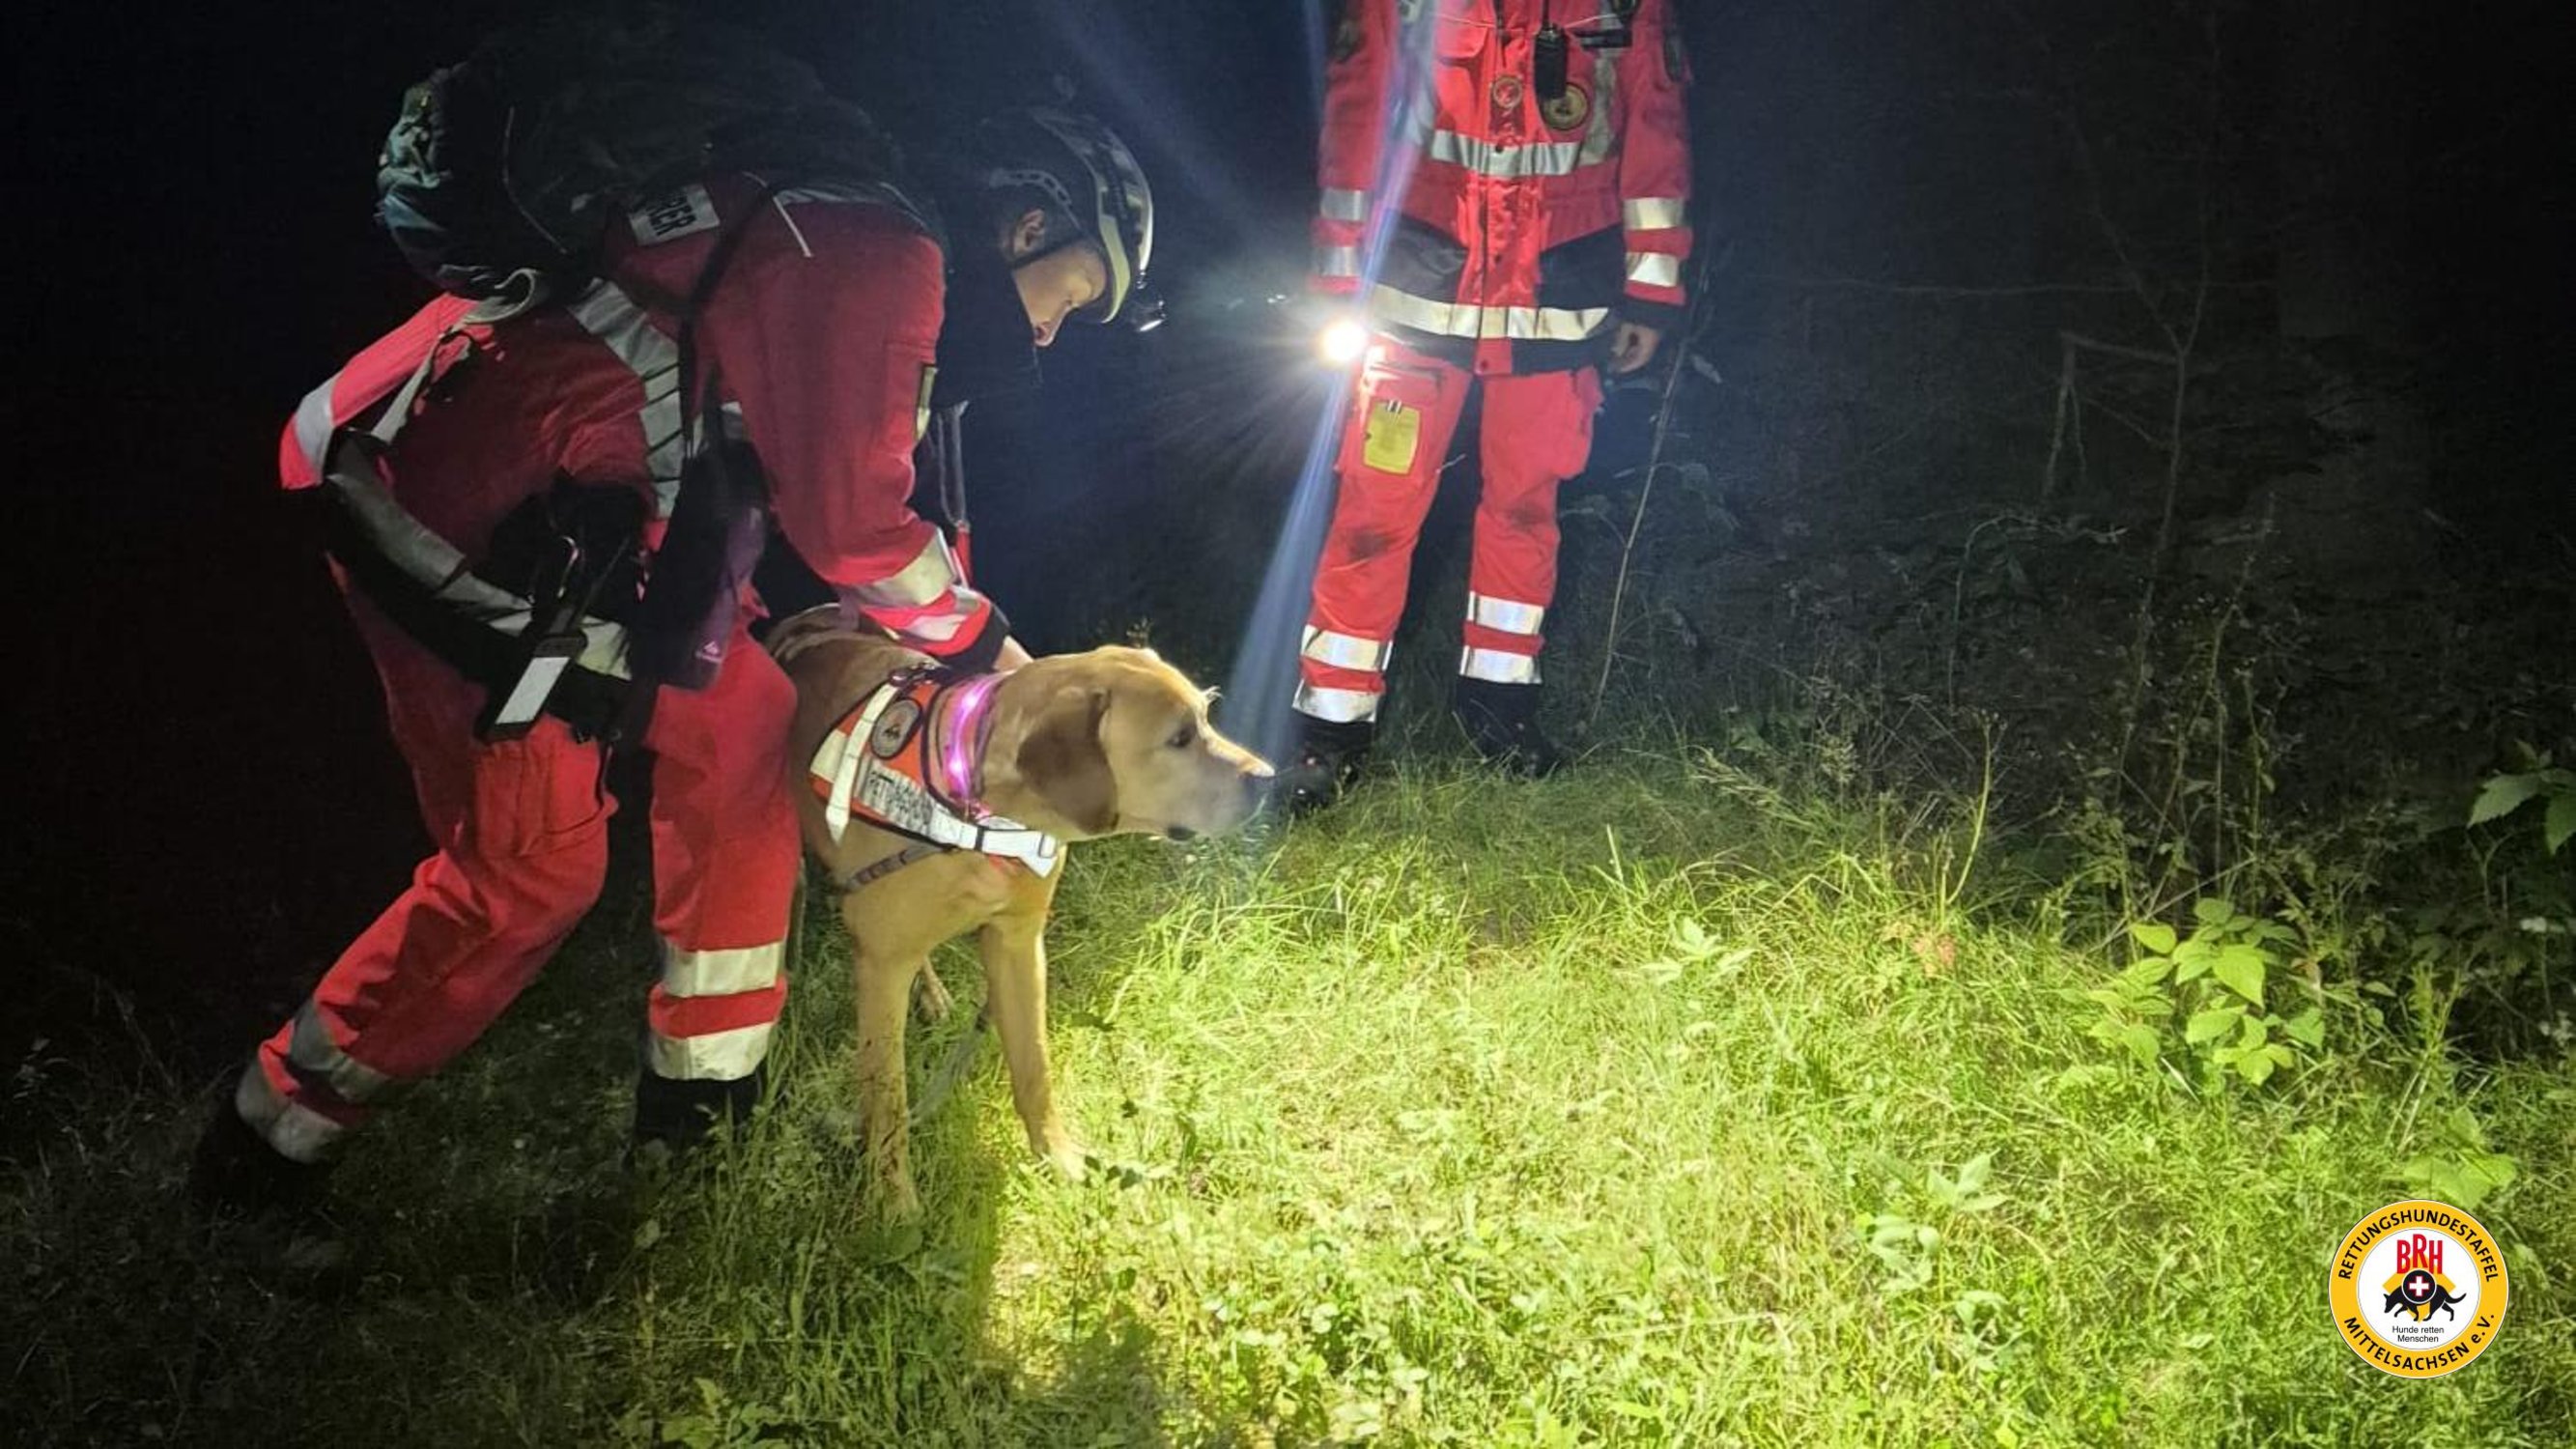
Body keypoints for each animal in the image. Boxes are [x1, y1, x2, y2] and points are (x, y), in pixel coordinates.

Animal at [769, 606, 1271, 1217]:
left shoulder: (1018, 944)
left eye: (1205, 716)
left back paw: (930, 991)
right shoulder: (882, 967)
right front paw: (893, 1202)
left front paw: (1058, 1156)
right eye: (1178, 738)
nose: (1268, 779)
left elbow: (1035, 1067)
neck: (983, 817)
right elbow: (888, 1100)